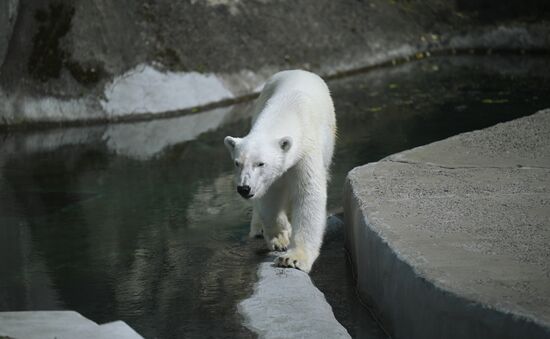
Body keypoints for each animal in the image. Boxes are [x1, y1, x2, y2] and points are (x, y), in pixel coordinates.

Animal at [224, 69, 336, 274]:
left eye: (260, 163)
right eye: (237, 163)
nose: (244, 188)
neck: (286, 109)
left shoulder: (305, 152)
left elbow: (308, 195)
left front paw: (293, 259)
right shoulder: (269, 179)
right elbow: (269, 197)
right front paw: (280, 239)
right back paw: (258, 229)